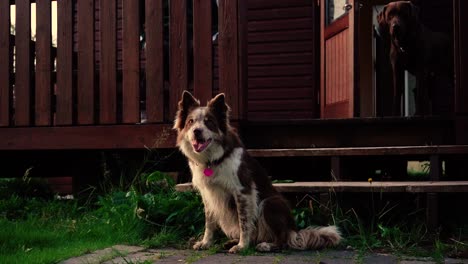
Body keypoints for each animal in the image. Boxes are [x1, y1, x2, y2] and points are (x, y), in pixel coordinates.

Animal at [172, 91, 340, 254]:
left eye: (209, 122)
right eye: (191, 122)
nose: (197, 131)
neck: (213, 159)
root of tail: (294, 230)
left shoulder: (242, 191)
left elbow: (244, 222)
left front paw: (242, 246)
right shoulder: (209, 194)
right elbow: (209, 223)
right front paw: (205, 243)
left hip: (270, 203)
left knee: (283, 240)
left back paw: (267, 246)